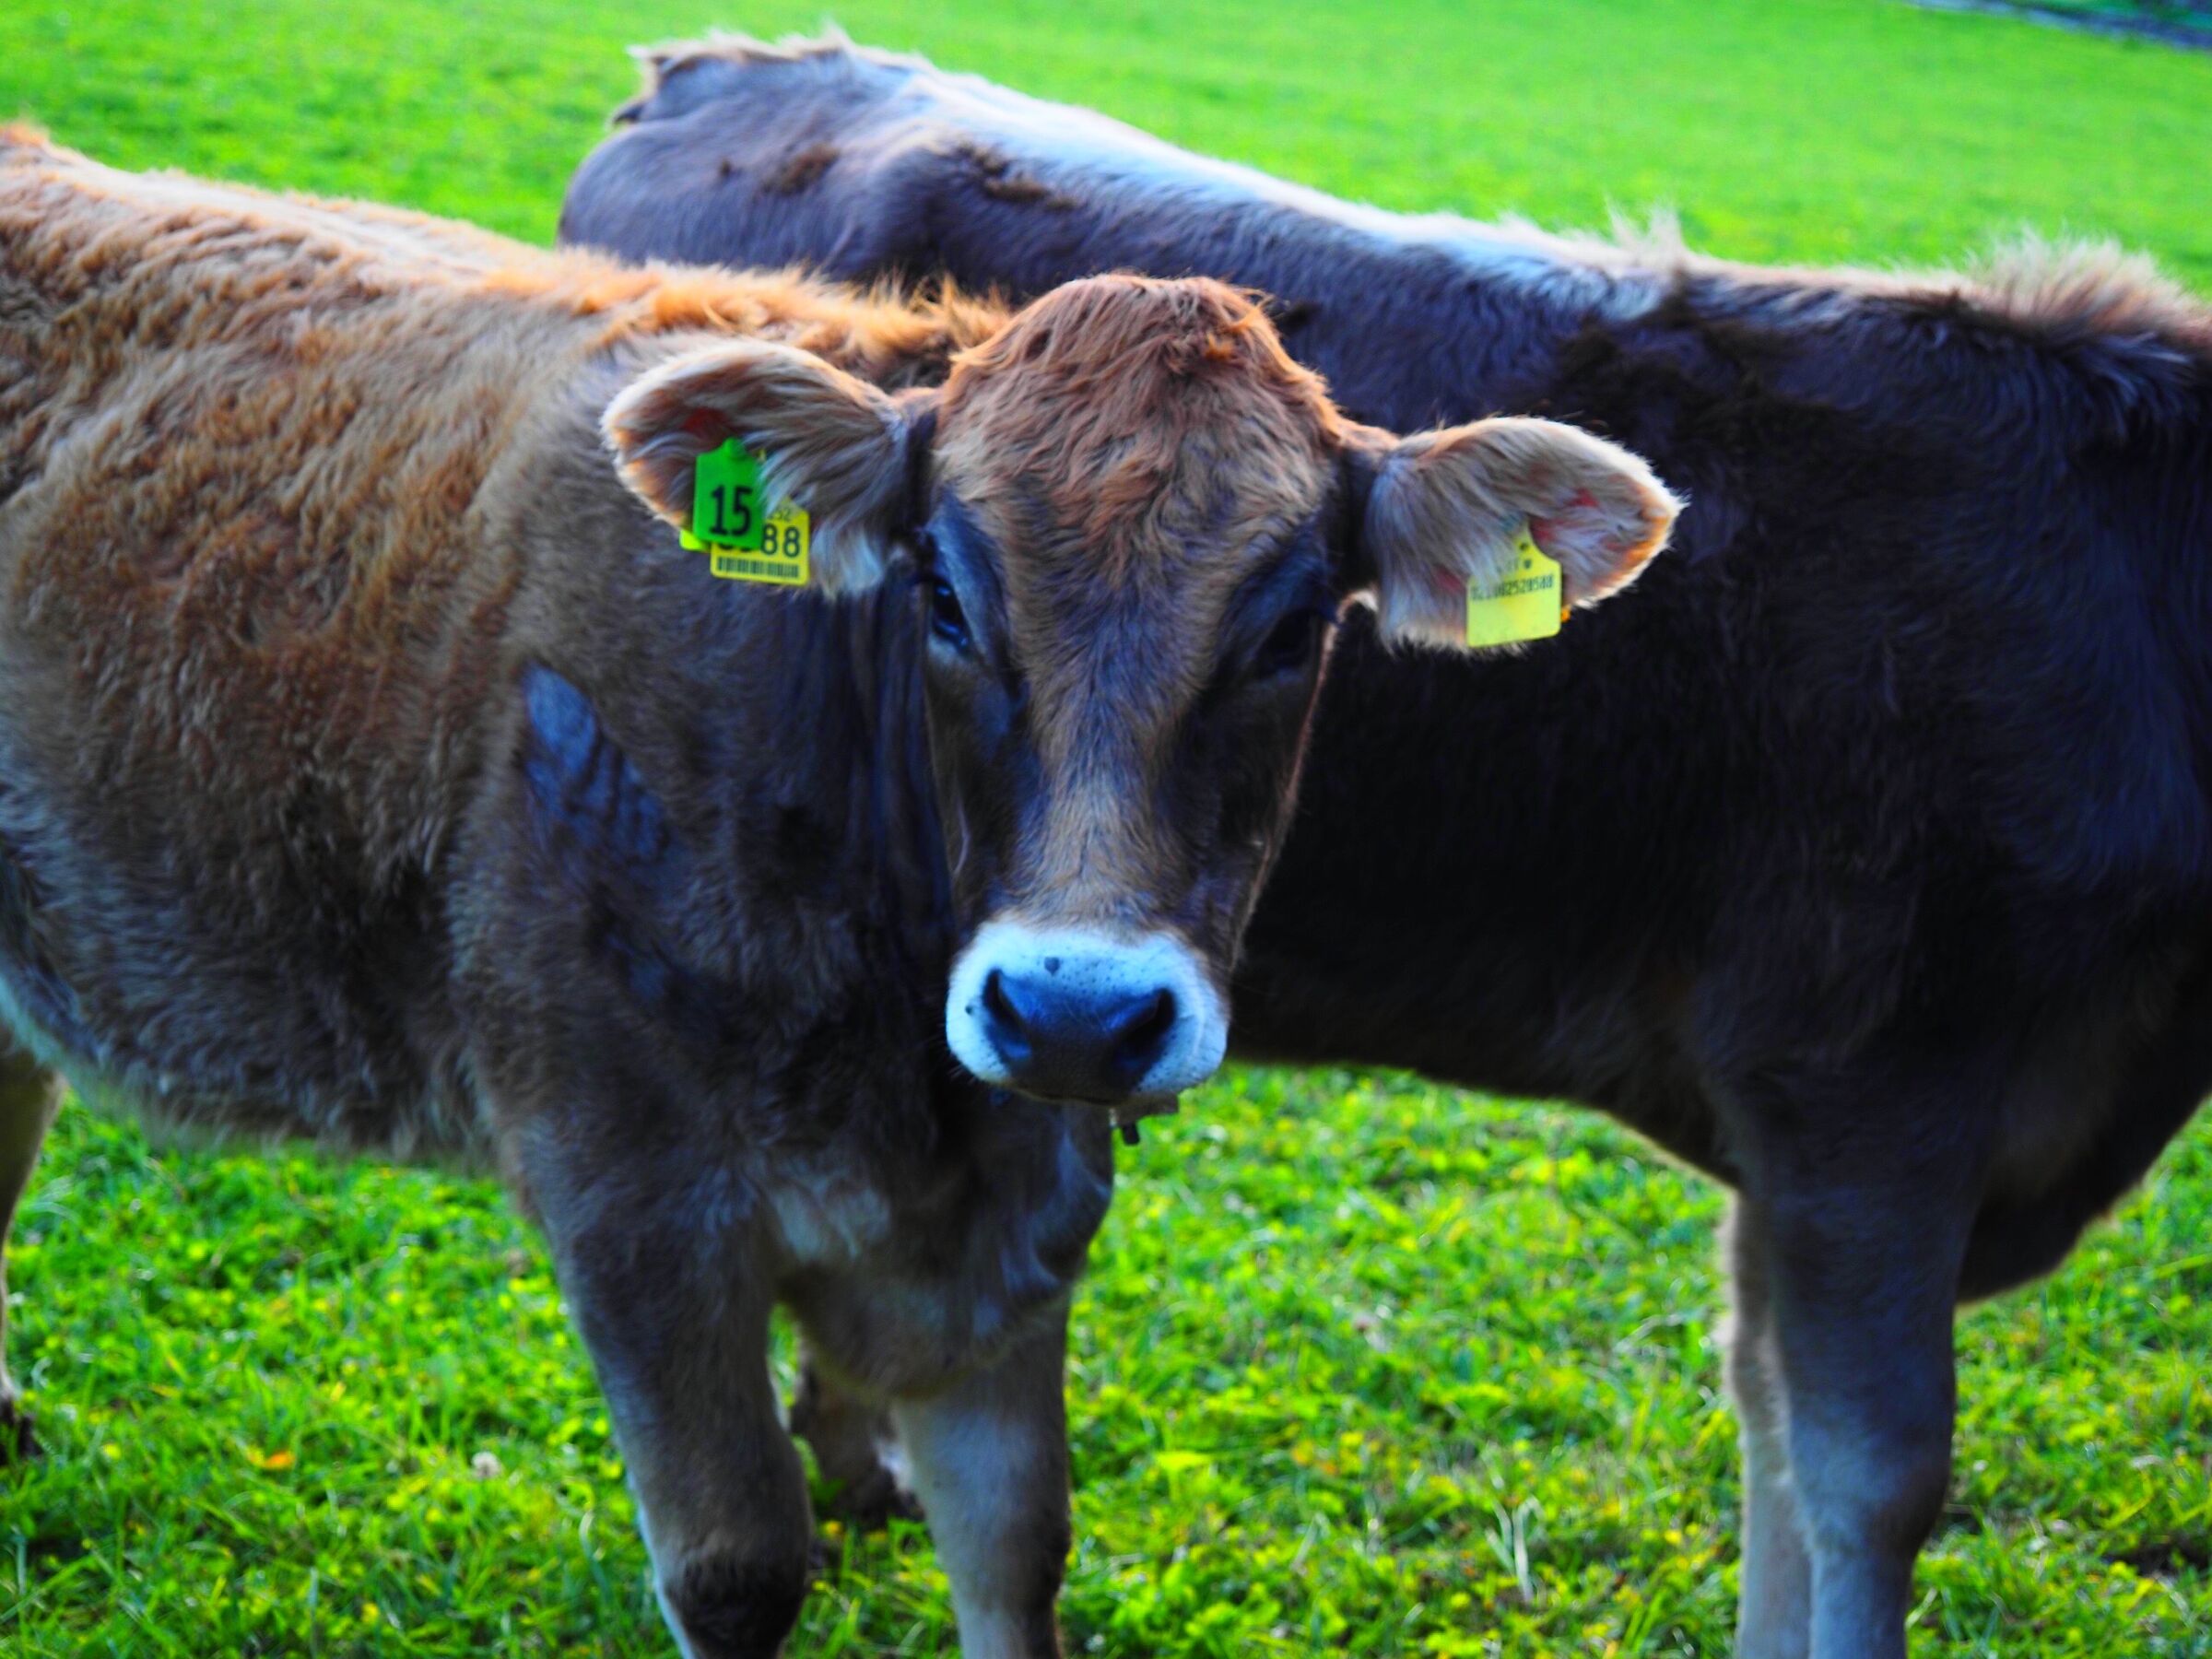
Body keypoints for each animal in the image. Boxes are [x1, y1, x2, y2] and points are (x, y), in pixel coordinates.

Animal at [0, 130, 1675, 1658]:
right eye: (941, 591)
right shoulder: (634, 1211)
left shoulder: (1016, 1233)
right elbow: (741, 1571)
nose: (1076, 1010)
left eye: (1290, 629)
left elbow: (1017, 1547)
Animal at [559, 33, 2212, 1659]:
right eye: (942, 599)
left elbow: (1773, 1443)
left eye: (1303, 631)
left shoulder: (1803, 1149)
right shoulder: (1866, 1099)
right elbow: (1870, 1479)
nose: (1082, 1012)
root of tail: (723, 65)